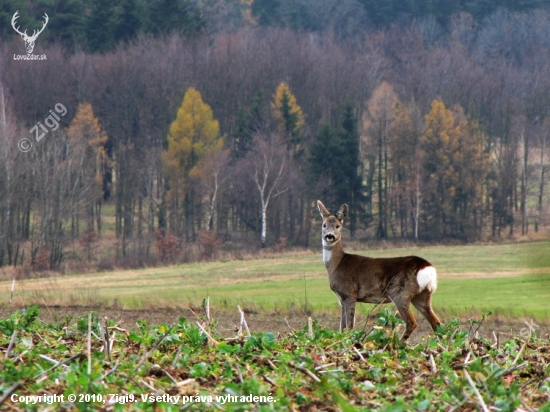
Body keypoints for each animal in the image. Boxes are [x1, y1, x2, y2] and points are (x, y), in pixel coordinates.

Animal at [316, 200, 442, 342]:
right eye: (324, 225)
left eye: (338, 226)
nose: (329, 236)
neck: (337, 264)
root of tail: (428, 267)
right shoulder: (341, 298)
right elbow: (341, 328)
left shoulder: (350, 293)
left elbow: (349, 326)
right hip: (422, 295)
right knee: (436, 323)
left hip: (400, 292)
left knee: (412, 323)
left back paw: (395, 343)